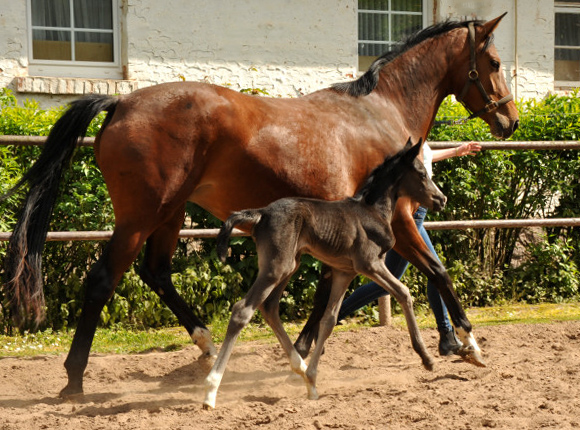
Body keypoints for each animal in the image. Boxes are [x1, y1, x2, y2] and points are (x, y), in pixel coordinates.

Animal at [204, 139, 448, 408]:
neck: (372, 211)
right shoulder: (370, 264)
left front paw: (312, 377)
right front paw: (427, 359)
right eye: (422, 173)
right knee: (242, 310)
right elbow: (404, 293)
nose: (442, 199)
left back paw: (301, 371)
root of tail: (262, 213)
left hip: (289, 265)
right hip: (276, 267)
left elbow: (328, 320)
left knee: (269, 307)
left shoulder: (344, 272)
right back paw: (211, 390)